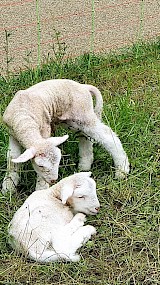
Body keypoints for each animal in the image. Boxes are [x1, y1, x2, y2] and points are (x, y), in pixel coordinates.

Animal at [1, 77, 129, 193]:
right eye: (41, 166)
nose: (53, 180)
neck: (23, 117)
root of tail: (84, 87)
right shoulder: (13, 134)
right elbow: (12, 158)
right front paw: (8, 186)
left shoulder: (45, 128)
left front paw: (40, 191)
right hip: (73, 122)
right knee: (84, 137)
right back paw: (84, 166)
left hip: (84, 115)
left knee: (107, 136)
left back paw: (122, 171)